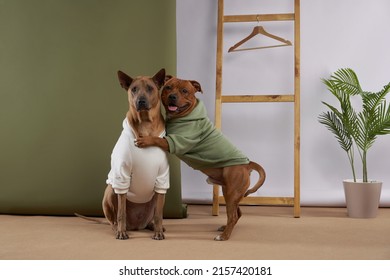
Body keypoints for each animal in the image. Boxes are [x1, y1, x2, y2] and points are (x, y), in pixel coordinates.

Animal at [101, 68, 168, 241]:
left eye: (150, 88)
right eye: (134, 89)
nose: (141, 101)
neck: (145, 124)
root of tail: (137, 226)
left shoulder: (162, 178)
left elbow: (159, 214)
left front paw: (158, 231)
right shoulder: (121, 175)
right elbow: (121, 213)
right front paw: (121, 232)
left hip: (154, 197)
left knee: (154, 216)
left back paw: (154, 226)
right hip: (110, 190)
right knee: (114, 218)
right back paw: (117, 228)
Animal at [136, 77, 266, 241]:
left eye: (185, 91)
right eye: (168, 87)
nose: (172, 96)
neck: (185, 116)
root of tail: (247, 164)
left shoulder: (175, 142)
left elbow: (158, 139)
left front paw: (145, 140)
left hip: (231, 193)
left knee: (233, 216)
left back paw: (224, 236)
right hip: (230, 193)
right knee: (237, 213)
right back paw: (224, 228)